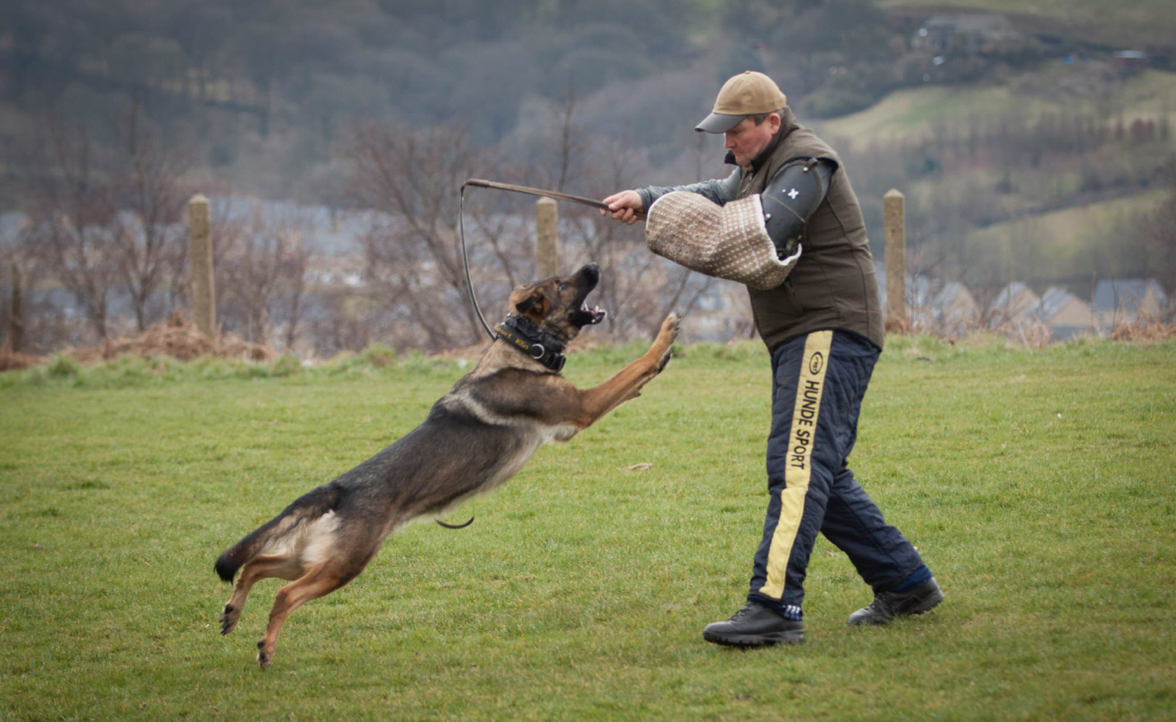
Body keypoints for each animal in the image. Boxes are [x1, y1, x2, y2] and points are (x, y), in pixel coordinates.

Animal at [215, 264, 677, 667]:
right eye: (563, 284)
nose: (595, 265)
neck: (523, 347)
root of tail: (340, 488)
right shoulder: (583, 407)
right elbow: (633, 366)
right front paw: (665, 336)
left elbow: (633, 381)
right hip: (343, 564)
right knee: (284, 594)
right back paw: (266, 648)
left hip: (318, 558)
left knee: (256, 564)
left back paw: (233, 612)